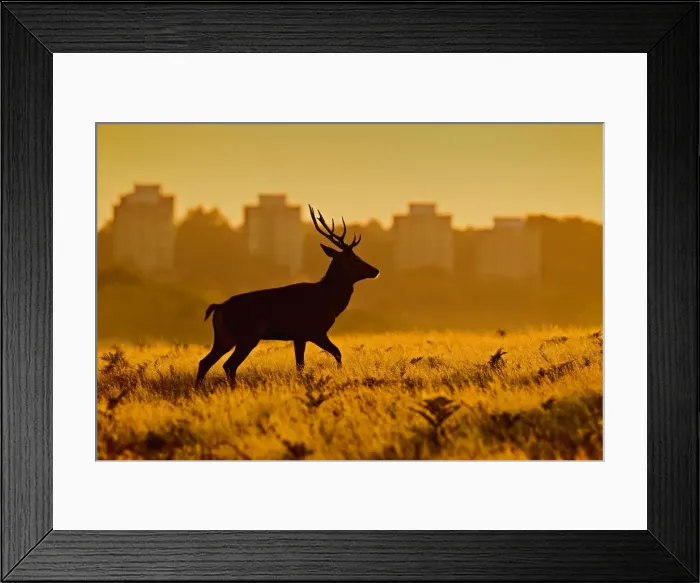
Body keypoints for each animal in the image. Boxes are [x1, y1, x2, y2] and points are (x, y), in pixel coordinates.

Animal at [195, 205, 380, 388]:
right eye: (356, 258)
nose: (376, 270)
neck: (330, 301)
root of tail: (218, 307)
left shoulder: (299, 336)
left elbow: (300, 364)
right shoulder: (315, 330)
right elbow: (337, 353)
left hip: (224, 337)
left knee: (205, 362)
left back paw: (199, 389)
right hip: (247, 335)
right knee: (228, 365)